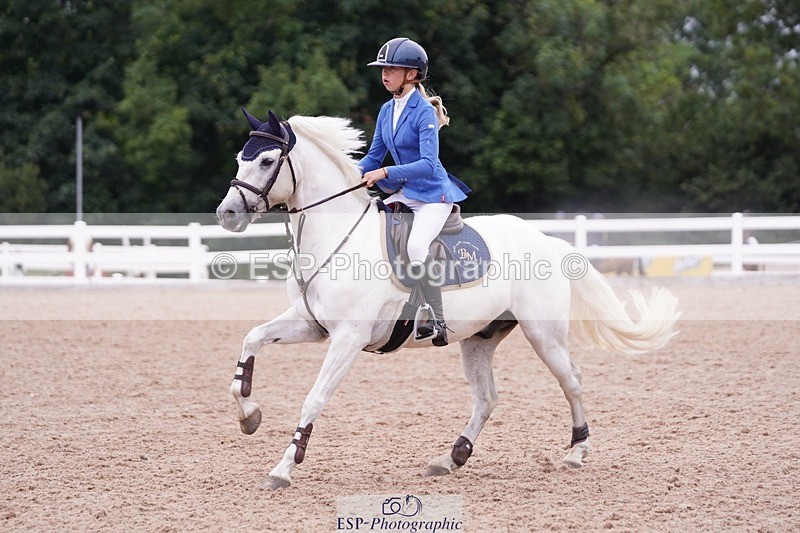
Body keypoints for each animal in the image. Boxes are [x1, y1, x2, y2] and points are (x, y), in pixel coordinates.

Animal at [215, 109, 680, 490]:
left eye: (267, 161)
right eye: (239, 157)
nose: (227, 214)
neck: (338, 236)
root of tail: (547, 240)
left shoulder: (348, 337)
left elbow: (314, 397)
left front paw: (283, 467)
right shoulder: (310, 324)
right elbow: (252, 340)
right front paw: (249, 415)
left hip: (543, 334)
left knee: (572, 382)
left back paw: (576, 452)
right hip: (478, 339)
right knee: (487, 398)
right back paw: (451, 457)